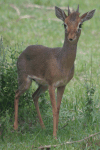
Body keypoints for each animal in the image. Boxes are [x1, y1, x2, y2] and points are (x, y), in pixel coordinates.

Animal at [13, 5, 95, 138]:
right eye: (64, 24)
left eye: (80, 24)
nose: (71, 38)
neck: (62, 64)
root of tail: (23, 52)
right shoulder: (52, 84)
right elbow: (53, 109)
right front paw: (55, 136)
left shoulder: (62, 85)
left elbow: (58, 108)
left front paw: (55, 133)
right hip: (26, 81)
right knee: (16, 94)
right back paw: (15, 128)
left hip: (42, 85)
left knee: (34, 96)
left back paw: (43, 127)